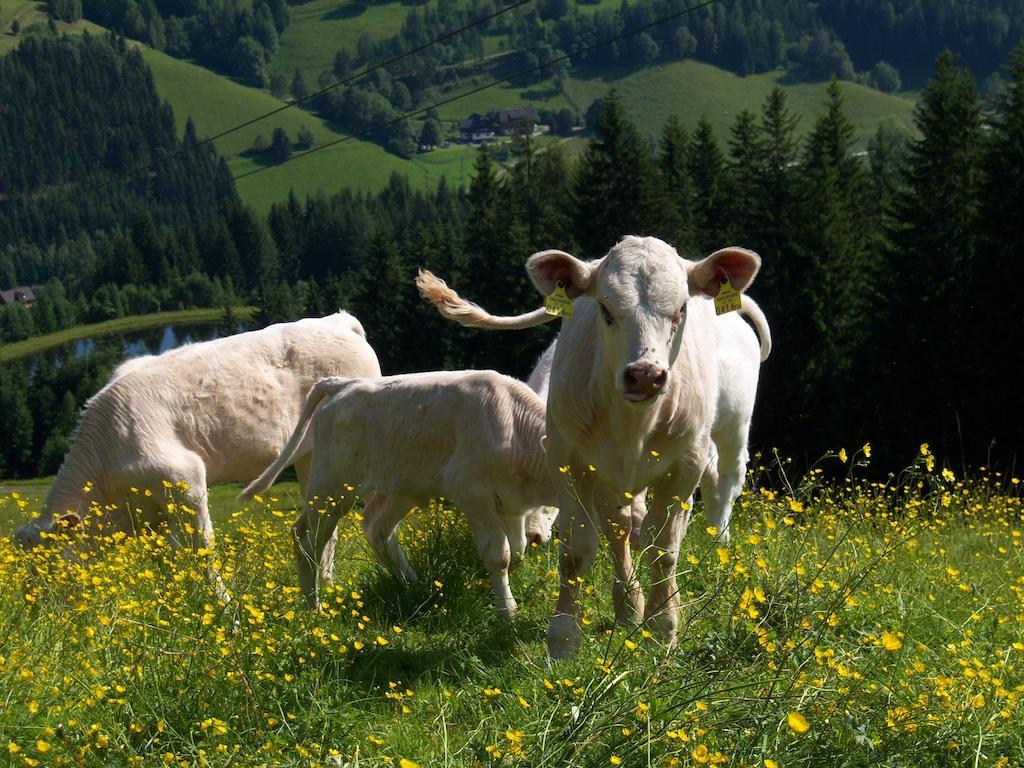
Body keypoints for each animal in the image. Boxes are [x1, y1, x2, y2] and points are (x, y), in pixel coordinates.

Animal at [237, 368, 561, 618]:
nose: (539, 537)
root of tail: (344, 383)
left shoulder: (512, 504)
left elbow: (517, 547)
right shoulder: (471, 491)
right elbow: (498, 555)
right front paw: (508, 611)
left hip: (401, 488)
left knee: (374, 527)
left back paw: (417, 586)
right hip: (332, 486)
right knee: (306, 540)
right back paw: (312, 608)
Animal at [417, 237, 770, 659]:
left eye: (680, 311)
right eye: (606, 309)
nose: (645, 375)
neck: (632, 424)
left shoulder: (686, 463)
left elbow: (664, 548)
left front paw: (663, 627)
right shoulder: (572, 461)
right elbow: (581, 548)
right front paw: (569, 636)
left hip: (734, 424)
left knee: (725, 480)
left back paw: (719, 540)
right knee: (625, 526)